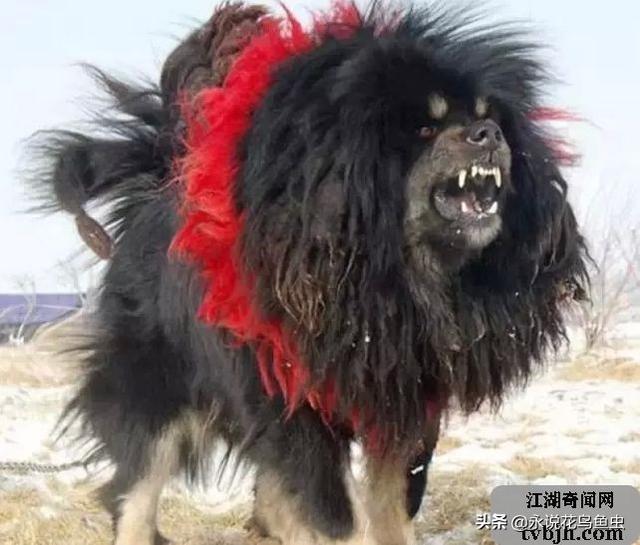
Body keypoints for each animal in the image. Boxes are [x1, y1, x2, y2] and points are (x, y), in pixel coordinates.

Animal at [28, 2, 588, 544]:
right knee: (136, 494)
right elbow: (336, 514)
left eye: (488, 117)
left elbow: (392, 506)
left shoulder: (402, 400)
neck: (390, 278)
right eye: (425, 128)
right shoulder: (291, 401)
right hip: (155, 388)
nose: (488, 133)